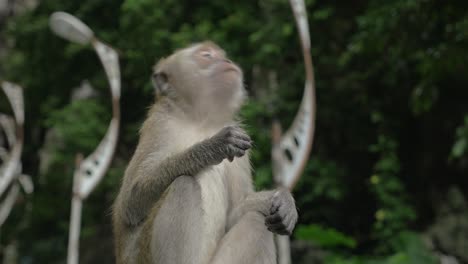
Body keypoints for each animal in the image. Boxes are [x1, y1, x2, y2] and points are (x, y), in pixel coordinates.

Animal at [111, 41, 298, 264]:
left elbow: (235, 211)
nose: (226, 60)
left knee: (255, 221)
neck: (200, 121)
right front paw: (213, 146)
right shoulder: (159, 125)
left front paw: (283, 201)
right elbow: (130, 203)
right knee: (183, 185)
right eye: (206, 55)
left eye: (221, 54)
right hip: (145, 256)